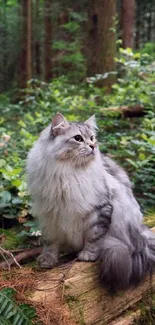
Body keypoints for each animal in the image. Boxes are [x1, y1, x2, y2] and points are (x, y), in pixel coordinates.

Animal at [26, 112, 155, 288]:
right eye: (78, 138)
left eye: (92, 138)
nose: (93, 146)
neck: (66, 173)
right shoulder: (50, 215)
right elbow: (50, 242)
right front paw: (48, 260)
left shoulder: (100, 209)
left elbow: (94, 237)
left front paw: (88, 254)